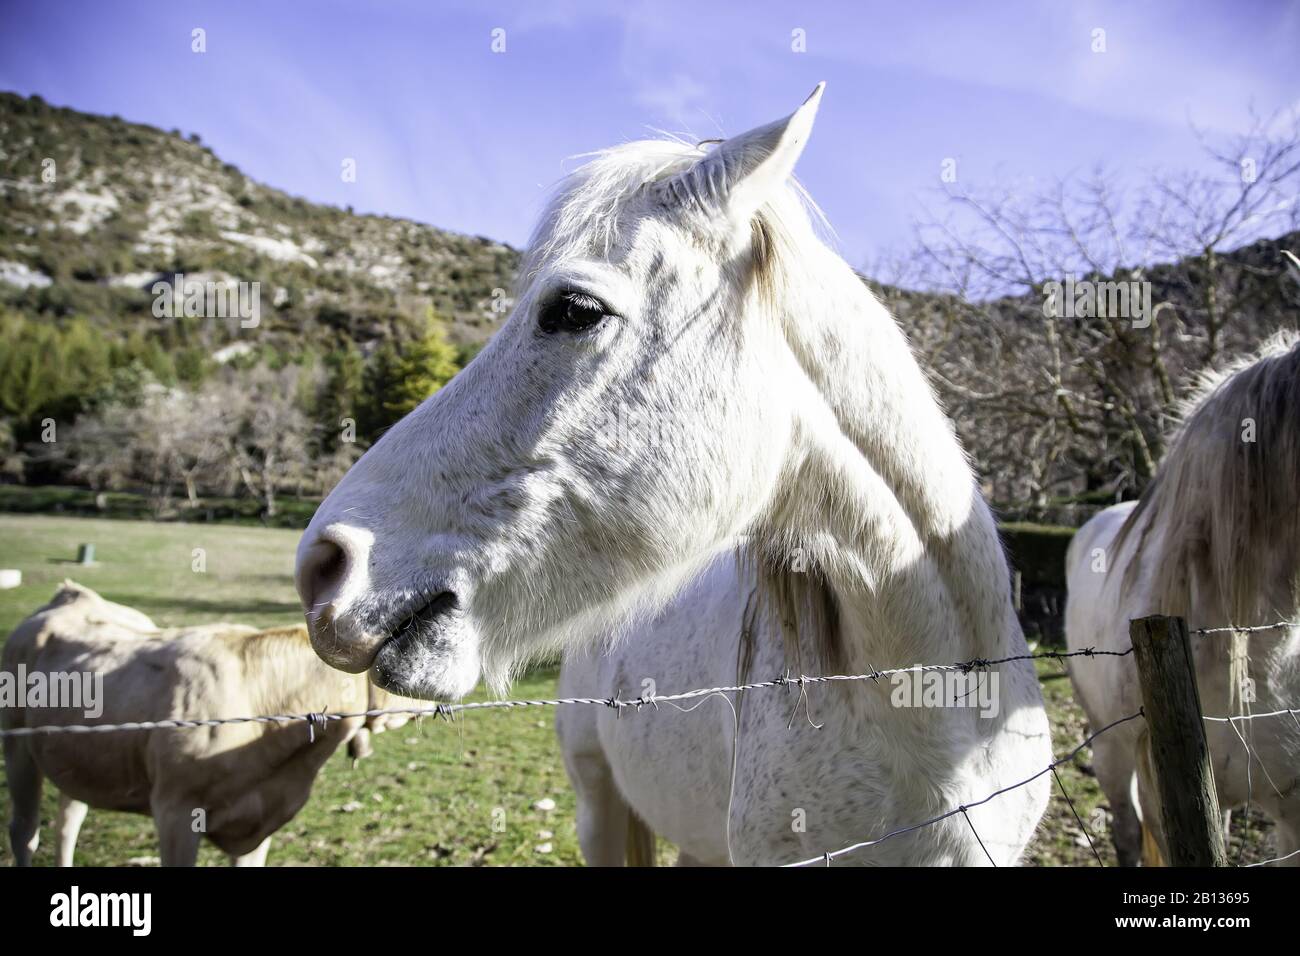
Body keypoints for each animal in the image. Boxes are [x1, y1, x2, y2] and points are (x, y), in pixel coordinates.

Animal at [3, 581, 407, 866]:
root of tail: (72, 595)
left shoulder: (258, 824)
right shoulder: (174, 809)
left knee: (68, 821)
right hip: (17, 746)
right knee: (25, 832)